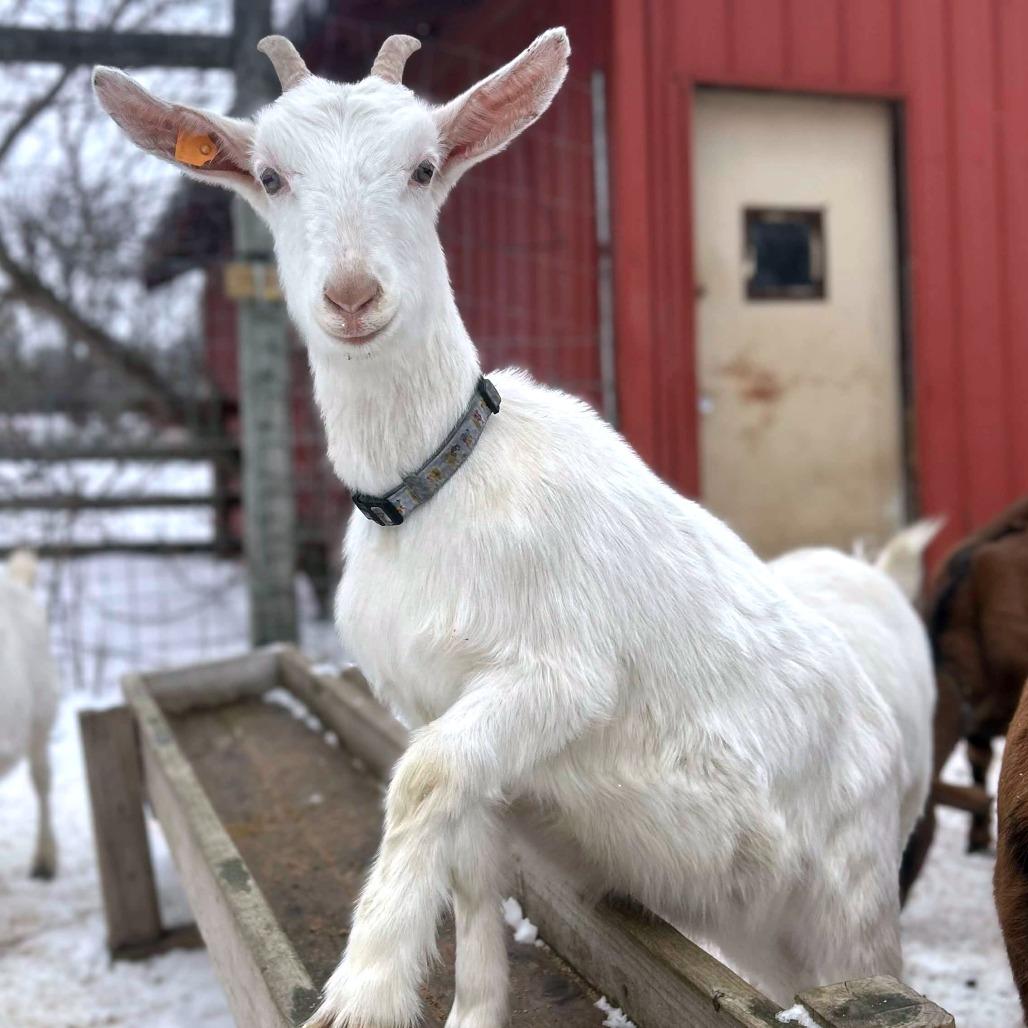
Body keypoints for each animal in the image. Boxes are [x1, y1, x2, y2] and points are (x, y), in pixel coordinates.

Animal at [95, 32, 926, 1026]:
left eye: (424, 167)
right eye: (269, 175)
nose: (352, 297)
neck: (433, 485)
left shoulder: (558, 673)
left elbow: (420, 778)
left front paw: (365, 987)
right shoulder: (439, 706)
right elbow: (472, 855)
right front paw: (470, 1006)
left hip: (849, 907)